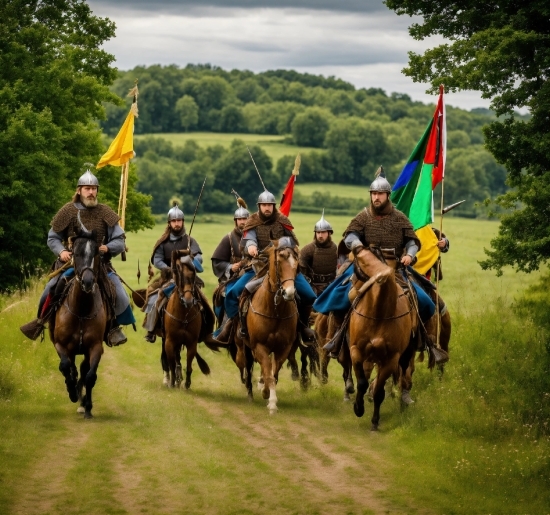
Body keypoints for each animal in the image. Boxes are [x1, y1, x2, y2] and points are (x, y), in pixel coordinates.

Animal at [51, 225, 108, 420]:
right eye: (75, 253)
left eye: (96, 253)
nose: (88, 281)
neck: (82, 311)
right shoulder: (60, 345)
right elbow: (65, 366)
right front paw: (72, 392)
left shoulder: (95, 347)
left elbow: (90, 376)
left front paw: (87, 407)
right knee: (73, 368)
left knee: (84, 370)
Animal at [162, 249, 220, 388]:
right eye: (177, 271)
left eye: (193, 274)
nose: (188, 300)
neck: (183, 315)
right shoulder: (169, 342)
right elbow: (172, 364)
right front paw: (172, 383)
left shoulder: (191, 343)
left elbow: (189, 366)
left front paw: (187, 384)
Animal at [234, 239, 300, 416]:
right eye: (279, 261)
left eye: (296, 264)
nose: (289, 293)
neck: (275, 311)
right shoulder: (260, 347)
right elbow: (269, 374)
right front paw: (270, 401)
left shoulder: (283, 348)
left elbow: (274, 374)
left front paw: (267, 393)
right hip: (245, 347)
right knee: (247, 367)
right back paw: (251, 392)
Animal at [350, 247, 418, 432]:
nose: (353, 290)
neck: (379, 313)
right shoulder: (356, 351)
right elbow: (362, 382)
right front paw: (358, 408)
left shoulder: (390, 359)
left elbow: (379, 392)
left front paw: (375, 421)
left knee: (403, 377)